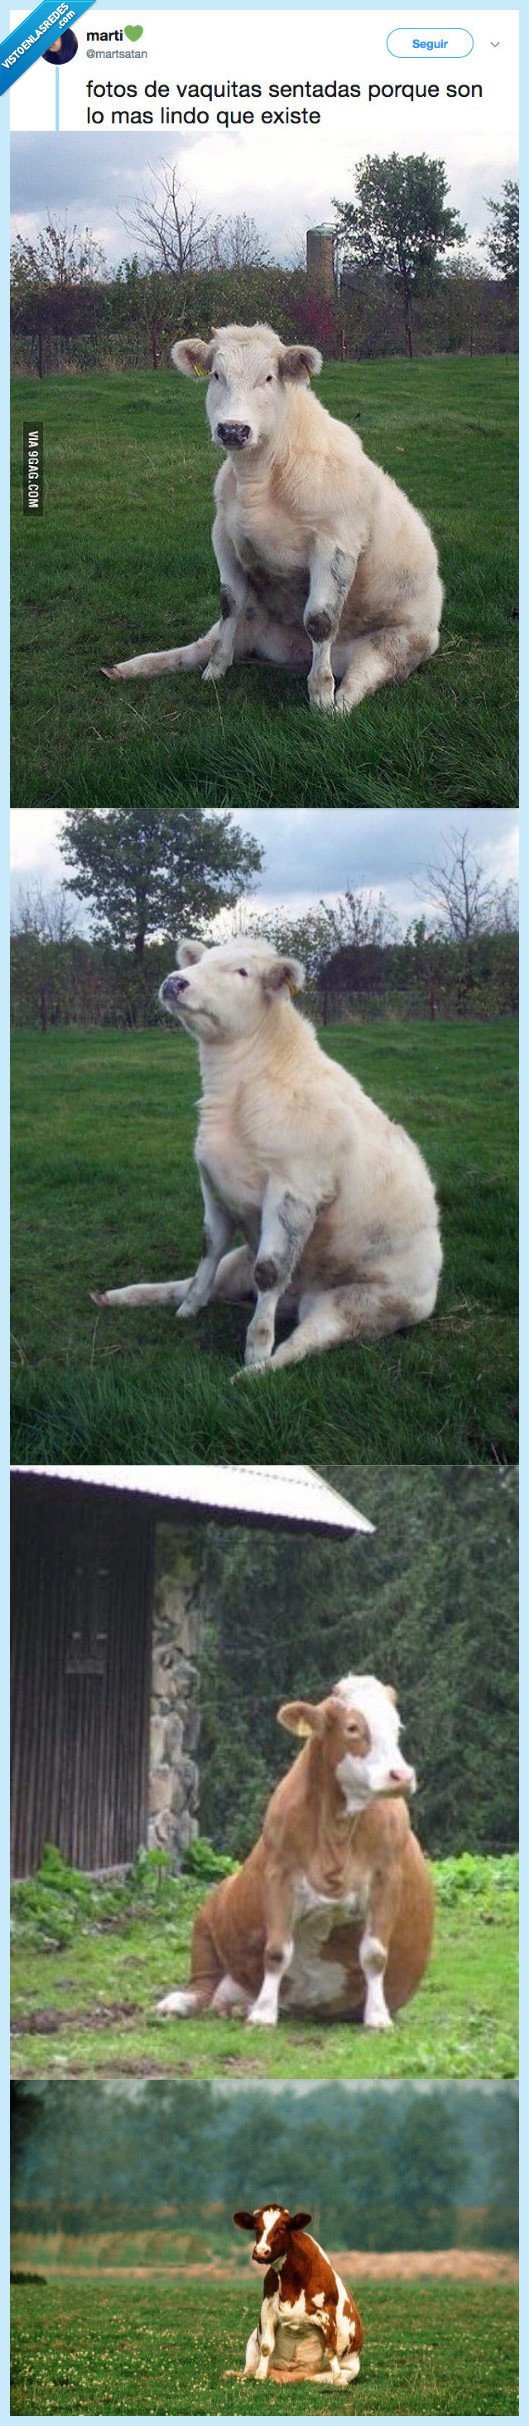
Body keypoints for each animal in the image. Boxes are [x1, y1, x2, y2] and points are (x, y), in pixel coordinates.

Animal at [91, 936, 443, 1377]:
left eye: (243, 972)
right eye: (201, 960)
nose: (175, 981)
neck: (236, 1099)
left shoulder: (295, 1189)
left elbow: (271, 1272)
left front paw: (256, 1347)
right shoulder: (213, 1184)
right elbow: (207, 1248)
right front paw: (190, 1309)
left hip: (361, 1305)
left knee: (304, 1343)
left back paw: (254, 1374)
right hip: (239, 1264)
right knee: (192, 1283)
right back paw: (124, 1296)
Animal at [102, 321, 443, 717]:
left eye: (268, 377)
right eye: (216, 375)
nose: (233, 429)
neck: (259, 478)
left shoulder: (335, 544)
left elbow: (320, 620)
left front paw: (320, 695)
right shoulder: (224, 534)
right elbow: (228, 602)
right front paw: (216, 669)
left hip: (397, 643)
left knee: (364, 674)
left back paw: (339, 703)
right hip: (252, 624)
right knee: (197, 648)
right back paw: (130, 668)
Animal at [156, 1675, 434, 2031]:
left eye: (397, 1726)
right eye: (353, 1727)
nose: (401, 1776)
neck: (337, 1832)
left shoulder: (388, 1879)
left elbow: (375, 1954)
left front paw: (377, 2017)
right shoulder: (278, 1876)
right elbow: (276, 1951)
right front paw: (262, 2014)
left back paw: (239, 2007)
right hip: (208, 1915)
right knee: (203, 1985)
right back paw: (183, 2003)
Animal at [233, 2205, 364, 2386]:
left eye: (281, 2228)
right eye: (256, 2228)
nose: (261, 2251)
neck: (292, 2282)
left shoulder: (327, 2314)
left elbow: (331, 2350)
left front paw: (338, 2379)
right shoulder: (267, 2307)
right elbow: (266, 2346)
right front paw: (259, 2375)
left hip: (348, 2370)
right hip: (252, 2344)